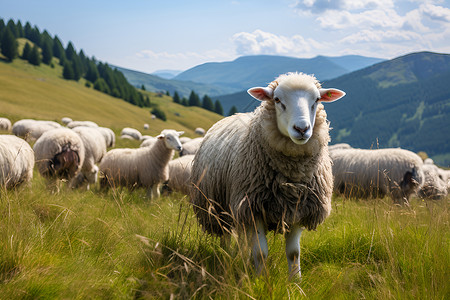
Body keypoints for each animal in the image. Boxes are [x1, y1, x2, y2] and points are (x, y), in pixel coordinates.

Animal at [189, 72, 344, 278]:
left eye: (317, 99)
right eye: (277, 100)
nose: (302, 129)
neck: (291, 177)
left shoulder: (299, 208)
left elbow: (293, 253)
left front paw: (296, 281)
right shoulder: (251, 208)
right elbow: (261, 253)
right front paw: (261, 279)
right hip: (217, 208)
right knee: (226, 235)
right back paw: (226, 258)